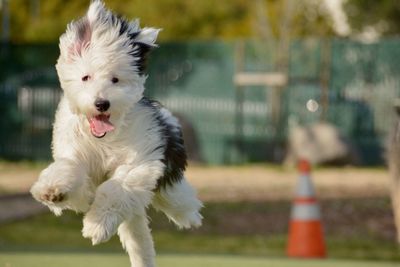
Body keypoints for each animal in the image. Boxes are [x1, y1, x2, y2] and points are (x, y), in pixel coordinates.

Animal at [30, 1, 203, 266]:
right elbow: (69, 170)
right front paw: (52, 191)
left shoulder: (140, 163)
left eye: (115, 79)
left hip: (169, 180)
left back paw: (192, 217)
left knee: (178, 200)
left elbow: (114, 188)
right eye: (86, 77)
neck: (103, 139)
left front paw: (96, 226)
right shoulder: (77, 159)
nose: (102, 103)